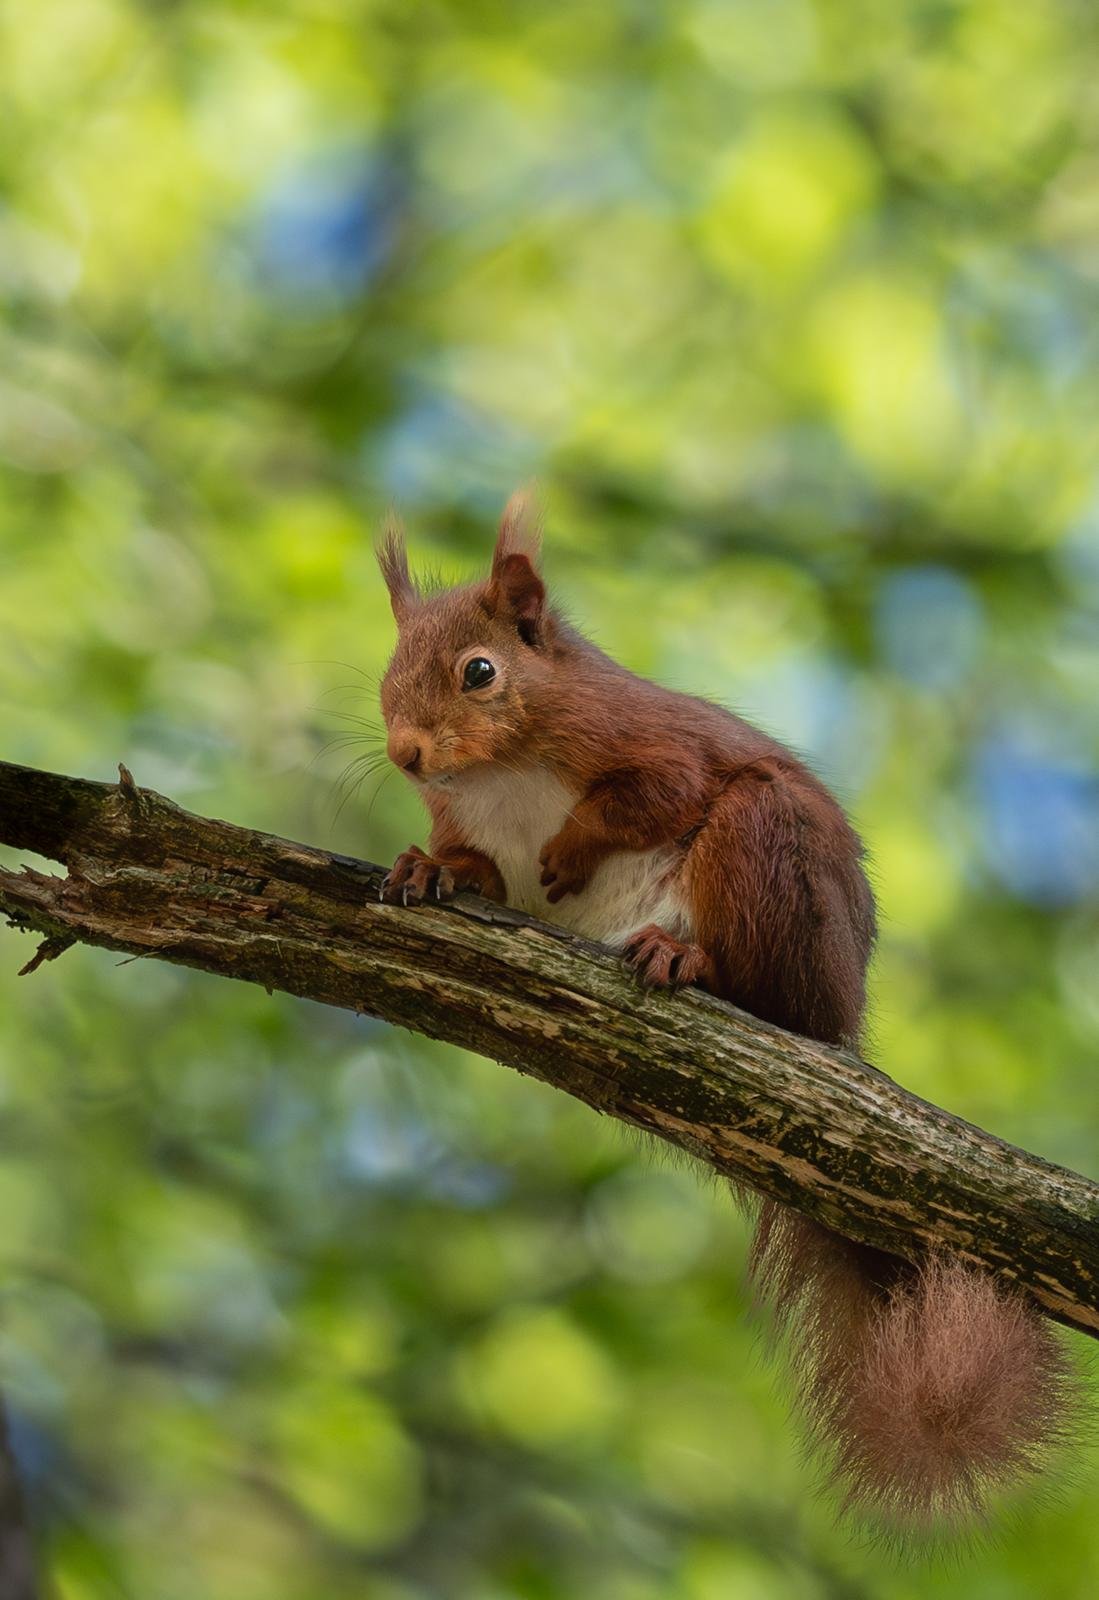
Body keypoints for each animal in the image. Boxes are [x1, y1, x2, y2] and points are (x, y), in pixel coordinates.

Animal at [374, 492, 1072, 1531]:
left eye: (480, 671)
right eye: (387, 674)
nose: (405, 754)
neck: (501, 775)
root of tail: (837, 1022)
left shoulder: (652, 742)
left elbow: (656, 791)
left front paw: (572, 845)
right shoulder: (474, 831)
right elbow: (478, 868)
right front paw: (426, 869)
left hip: (763, 848)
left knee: (755, 976)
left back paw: (685, 959)